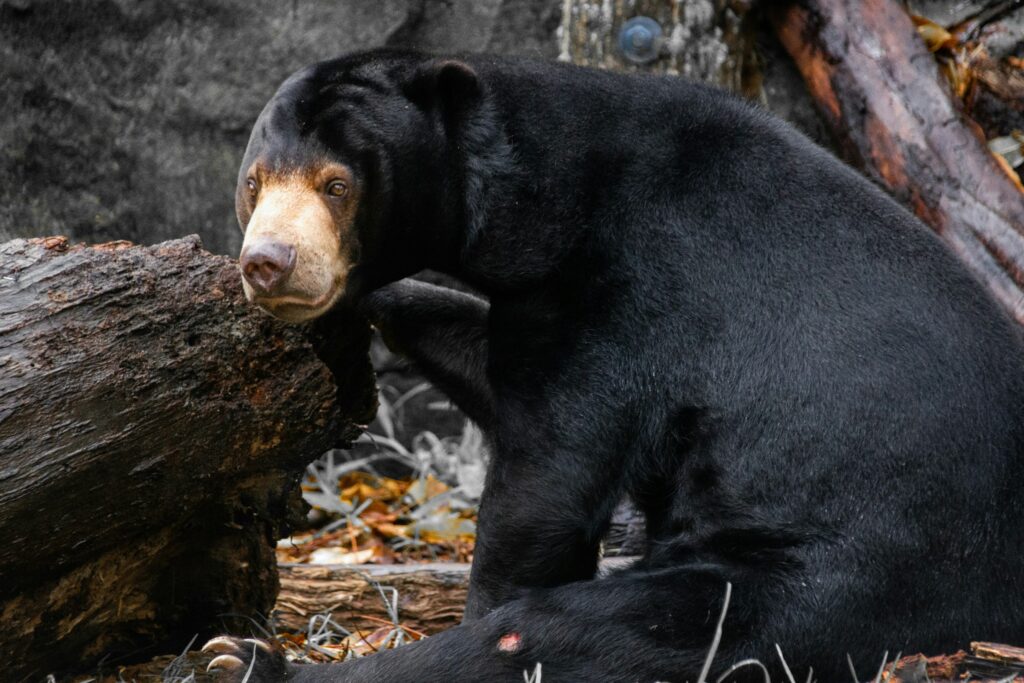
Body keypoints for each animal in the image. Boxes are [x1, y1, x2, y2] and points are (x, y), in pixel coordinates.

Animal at [202, 48, 1024, 681]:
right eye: (255, 181)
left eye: (338, 184)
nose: (268, 264)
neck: (542, 198)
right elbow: (484, 359)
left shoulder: (629, 290)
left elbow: (549, 475)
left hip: (839, 573)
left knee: (569, 631)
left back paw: (245, 659)